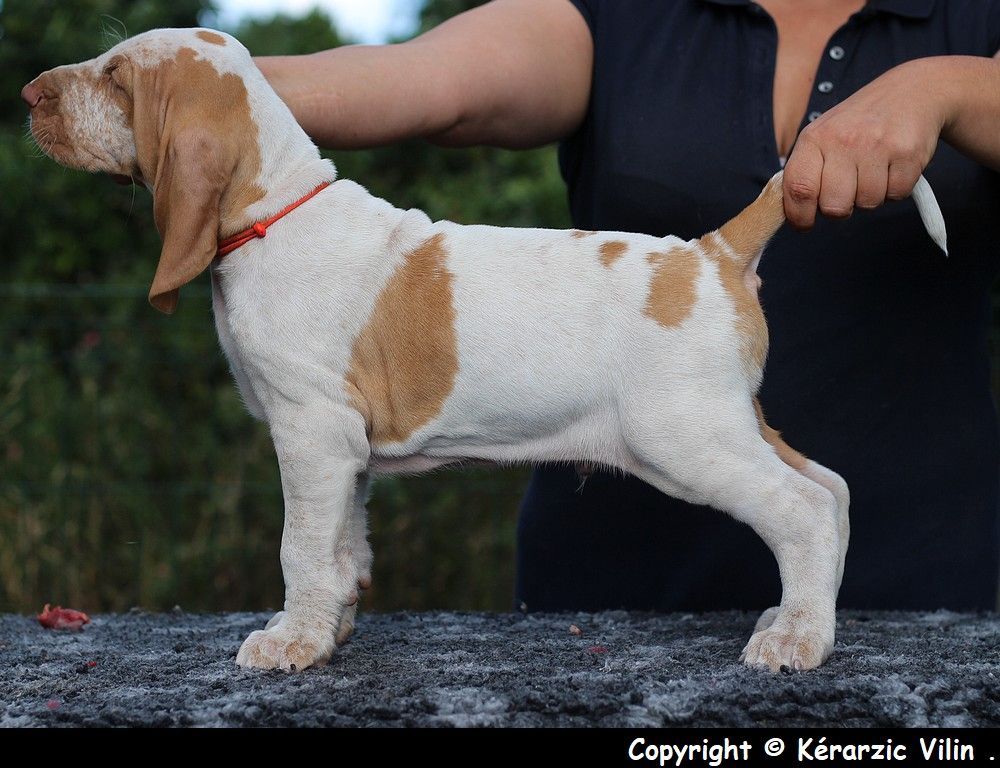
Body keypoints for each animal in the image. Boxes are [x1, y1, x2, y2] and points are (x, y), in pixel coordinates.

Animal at [21, 28, 944, 672]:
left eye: (116, 78)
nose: (29, 91)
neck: (276, 210)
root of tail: (710, 251)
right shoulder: (345, 448)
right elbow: (344, 547)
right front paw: (330, 629)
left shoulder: (311, 432)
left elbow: (300, 547)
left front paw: (289, 643)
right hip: (730, 421)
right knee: (830, 487)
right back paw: (802, 619)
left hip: (685, 437)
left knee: (804, 508)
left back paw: (796, 641)